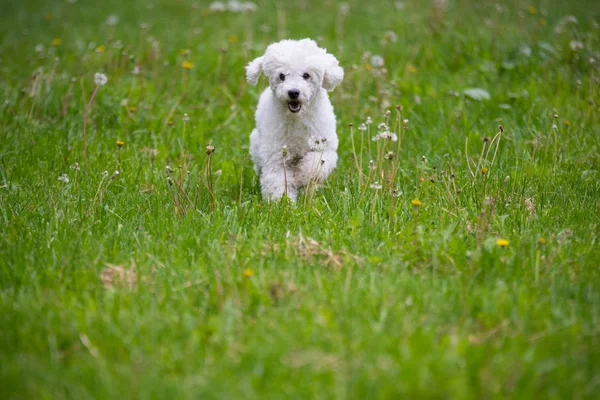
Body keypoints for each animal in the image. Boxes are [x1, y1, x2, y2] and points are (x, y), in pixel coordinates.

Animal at [246, 38, 344, 202]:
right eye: (281, 76)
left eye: (306, 75)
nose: (293, 92)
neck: (297, 118)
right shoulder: (276, 154)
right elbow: (277, 180)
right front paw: (282, 203)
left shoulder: (324, 147)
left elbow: (314, 166)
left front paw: (301, 176)